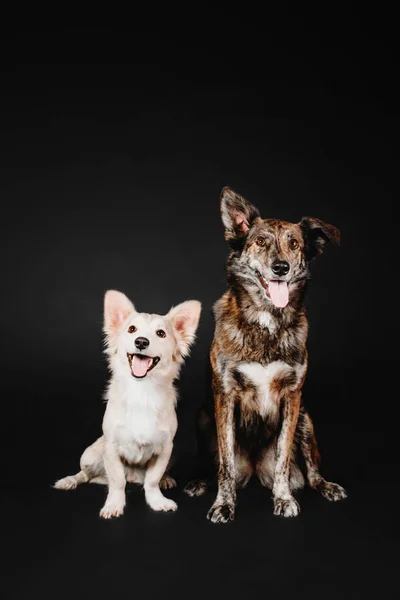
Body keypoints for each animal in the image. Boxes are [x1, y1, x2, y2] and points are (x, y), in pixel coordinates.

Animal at [54, 288, 202, 516]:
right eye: (132, 329)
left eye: (161, 334)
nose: (141, 341)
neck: (142, 391)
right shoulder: (111, 447)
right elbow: (117, 481)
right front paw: (114, 504)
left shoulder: (165, 449)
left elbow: (152, 480)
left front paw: (157, 500)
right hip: (90, 454)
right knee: (85, 475)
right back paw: (70, 481)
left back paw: (166, 480)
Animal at [184, 186, 346, 520]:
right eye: (260, 241)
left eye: (294, 243)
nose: (281, 268)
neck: (266, 321)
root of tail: (257, 471)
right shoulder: (225, 395)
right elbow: (226, 464)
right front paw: (224, 503)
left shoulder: (292, 397)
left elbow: (284, 457)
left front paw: (283, 499)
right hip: (203, 417)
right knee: (212, 462)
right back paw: (199, 481)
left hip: (306, 420)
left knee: (311, 471)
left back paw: (327, 486)